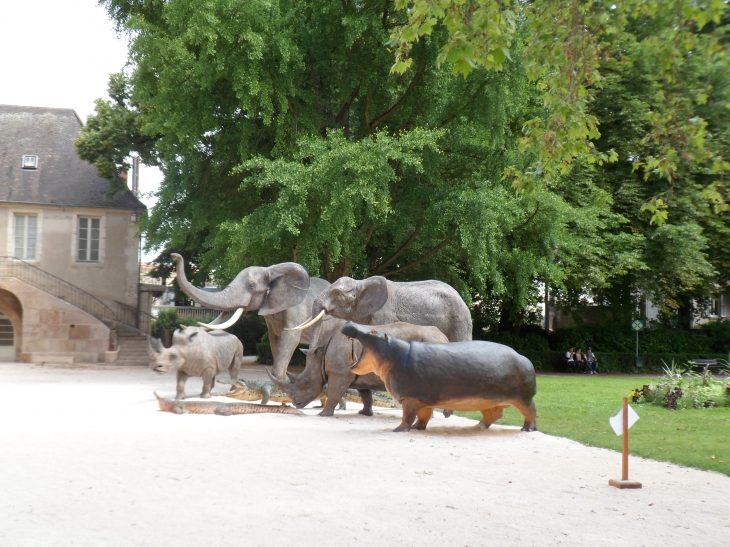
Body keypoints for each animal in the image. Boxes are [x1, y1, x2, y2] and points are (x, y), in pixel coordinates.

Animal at [172, 255, 328, 378]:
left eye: (251, 286)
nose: (174, 256)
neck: (270, 269)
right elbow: (274, 340)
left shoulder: (296, 311)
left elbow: (290, 339)